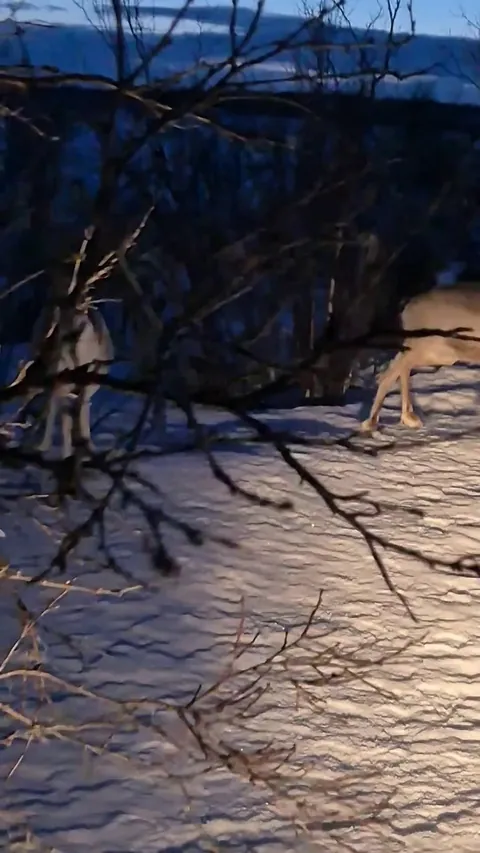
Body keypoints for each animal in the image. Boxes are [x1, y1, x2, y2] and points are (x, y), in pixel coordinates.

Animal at [360, 284, 480, 433]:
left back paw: (407, 417)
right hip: (428, 348)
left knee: (397, 366)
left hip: (438, 353)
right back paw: (374, 421)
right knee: (393, 370)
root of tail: (407, 307)